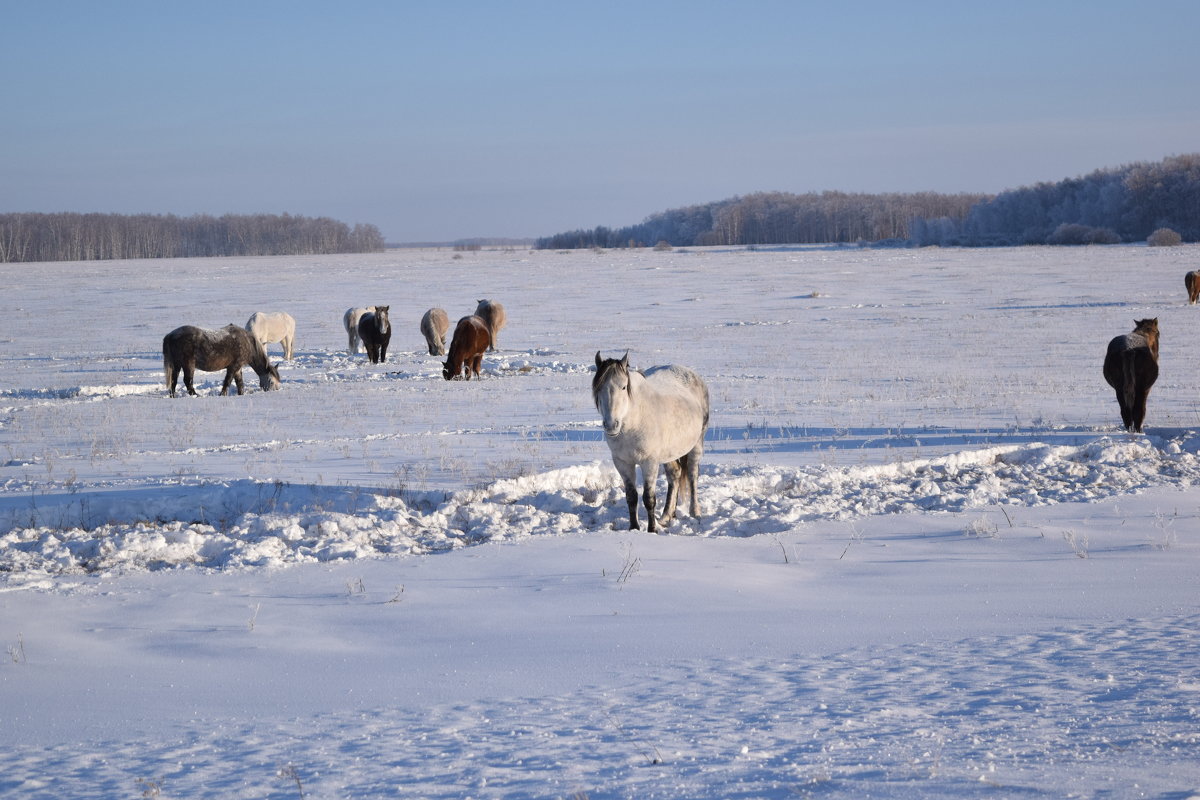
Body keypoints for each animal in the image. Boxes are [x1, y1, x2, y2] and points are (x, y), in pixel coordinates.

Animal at [592, 352, 705, 532]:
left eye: (623, 387)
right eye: (598, 388)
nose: (611, 425)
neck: (633, 421)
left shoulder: (649, 462)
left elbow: (649, 498)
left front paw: (651, 529)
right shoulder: (622, 463)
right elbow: (631, 497)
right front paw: (634, 528)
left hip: (696, 445)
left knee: (692, 476)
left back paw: (695, 513)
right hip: (670, 453)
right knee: (674, 475)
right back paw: (666, 516)